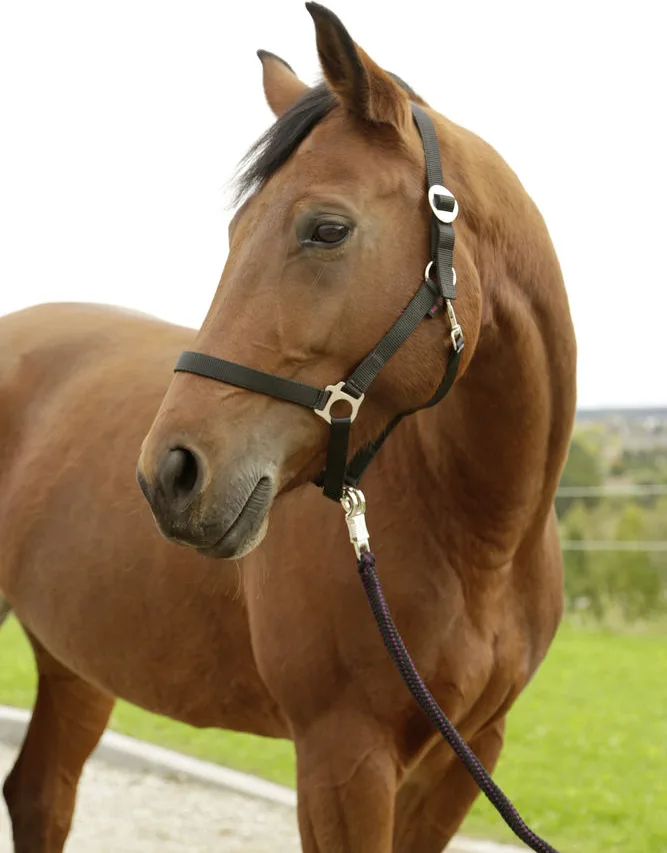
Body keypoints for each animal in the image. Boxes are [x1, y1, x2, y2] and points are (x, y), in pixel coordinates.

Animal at [0, 3, 576, 851]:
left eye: (327, 229)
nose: (170, 474)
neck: (481, 543)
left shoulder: (460, 762)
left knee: (42, 793)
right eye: (235, 231)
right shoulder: (343, 757)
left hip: (75, 659)